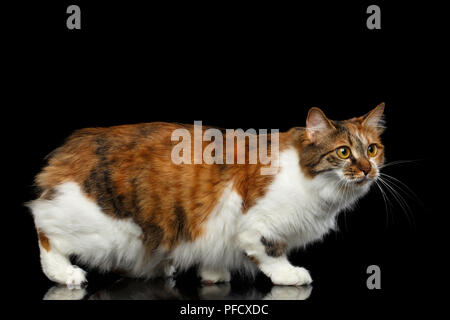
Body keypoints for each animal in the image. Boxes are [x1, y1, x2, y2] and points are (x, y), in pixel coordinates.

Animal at [28, 102, 384, 288]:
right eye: (343, 152)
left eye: (372, 149)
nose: (368, 170)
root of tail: (75, 143)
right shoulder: (257, 224)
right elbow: (271, 253)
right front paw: (290, 275)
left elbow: (214, 255)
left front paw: (213, 275)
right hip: (101, 227)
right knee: (45, 229)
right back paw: (64, 273)